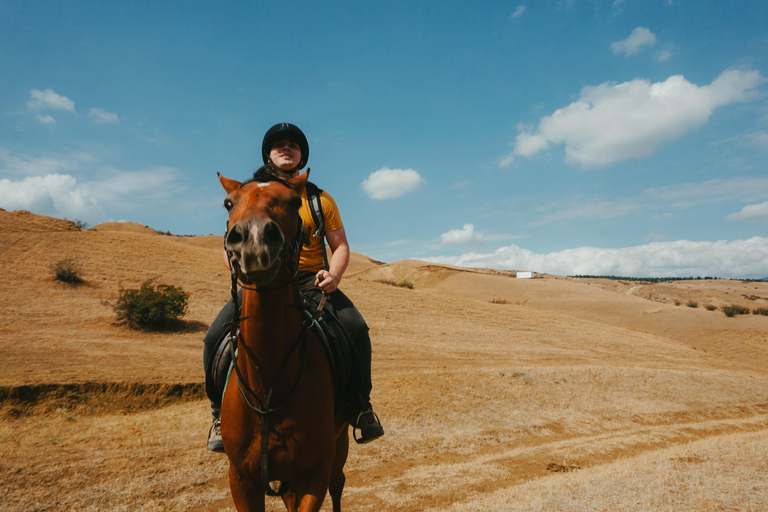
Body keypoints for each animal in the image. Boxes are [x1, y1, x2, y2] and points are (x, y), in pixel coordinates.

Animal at [216, 172, 348, 512]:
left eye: (291, 202)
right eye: (228, 203)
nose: (254, 239)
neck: (267, 384)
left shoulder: (314, 474)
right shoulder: (241, 480)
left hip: (339, 443)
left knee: (338, 483)